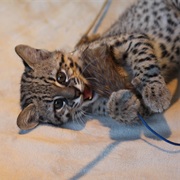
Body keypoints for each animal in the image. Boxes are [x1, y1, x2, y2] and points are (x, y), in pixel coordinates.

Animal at [15, 0, 180, 130]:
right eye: (58, 104)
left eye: (61, 77)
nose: (77, 93)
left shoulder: (130, 39)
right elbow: (131, 111)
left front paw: (156, 93)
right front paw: (121, 106)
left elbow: (146, 65)